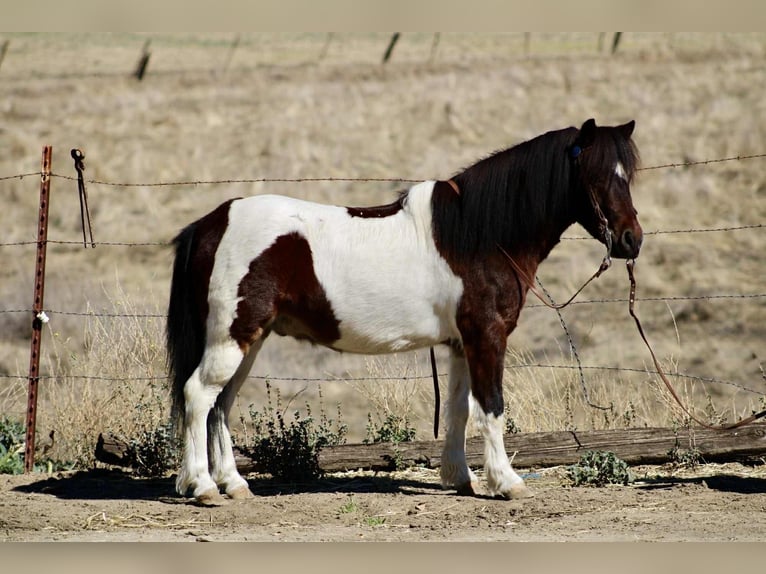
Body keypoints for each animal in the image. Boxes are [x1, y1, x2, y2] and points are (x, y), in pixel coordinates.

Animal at [166, 118, 642, 506]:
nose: (632, 240)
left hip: (249, 341)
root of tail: (210, 225)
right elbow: (491, 407)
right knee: (198, 395)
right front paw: (506, 482)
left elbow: (458, 410)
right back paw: (202, 487)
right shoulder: (487, 336)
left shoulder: (460, 343)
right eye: (598, 175)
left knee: (220, 405)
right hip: (231, 339)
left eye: (628, 175)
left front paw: (460, 479)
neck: (476, 236)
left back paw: (234, 484)